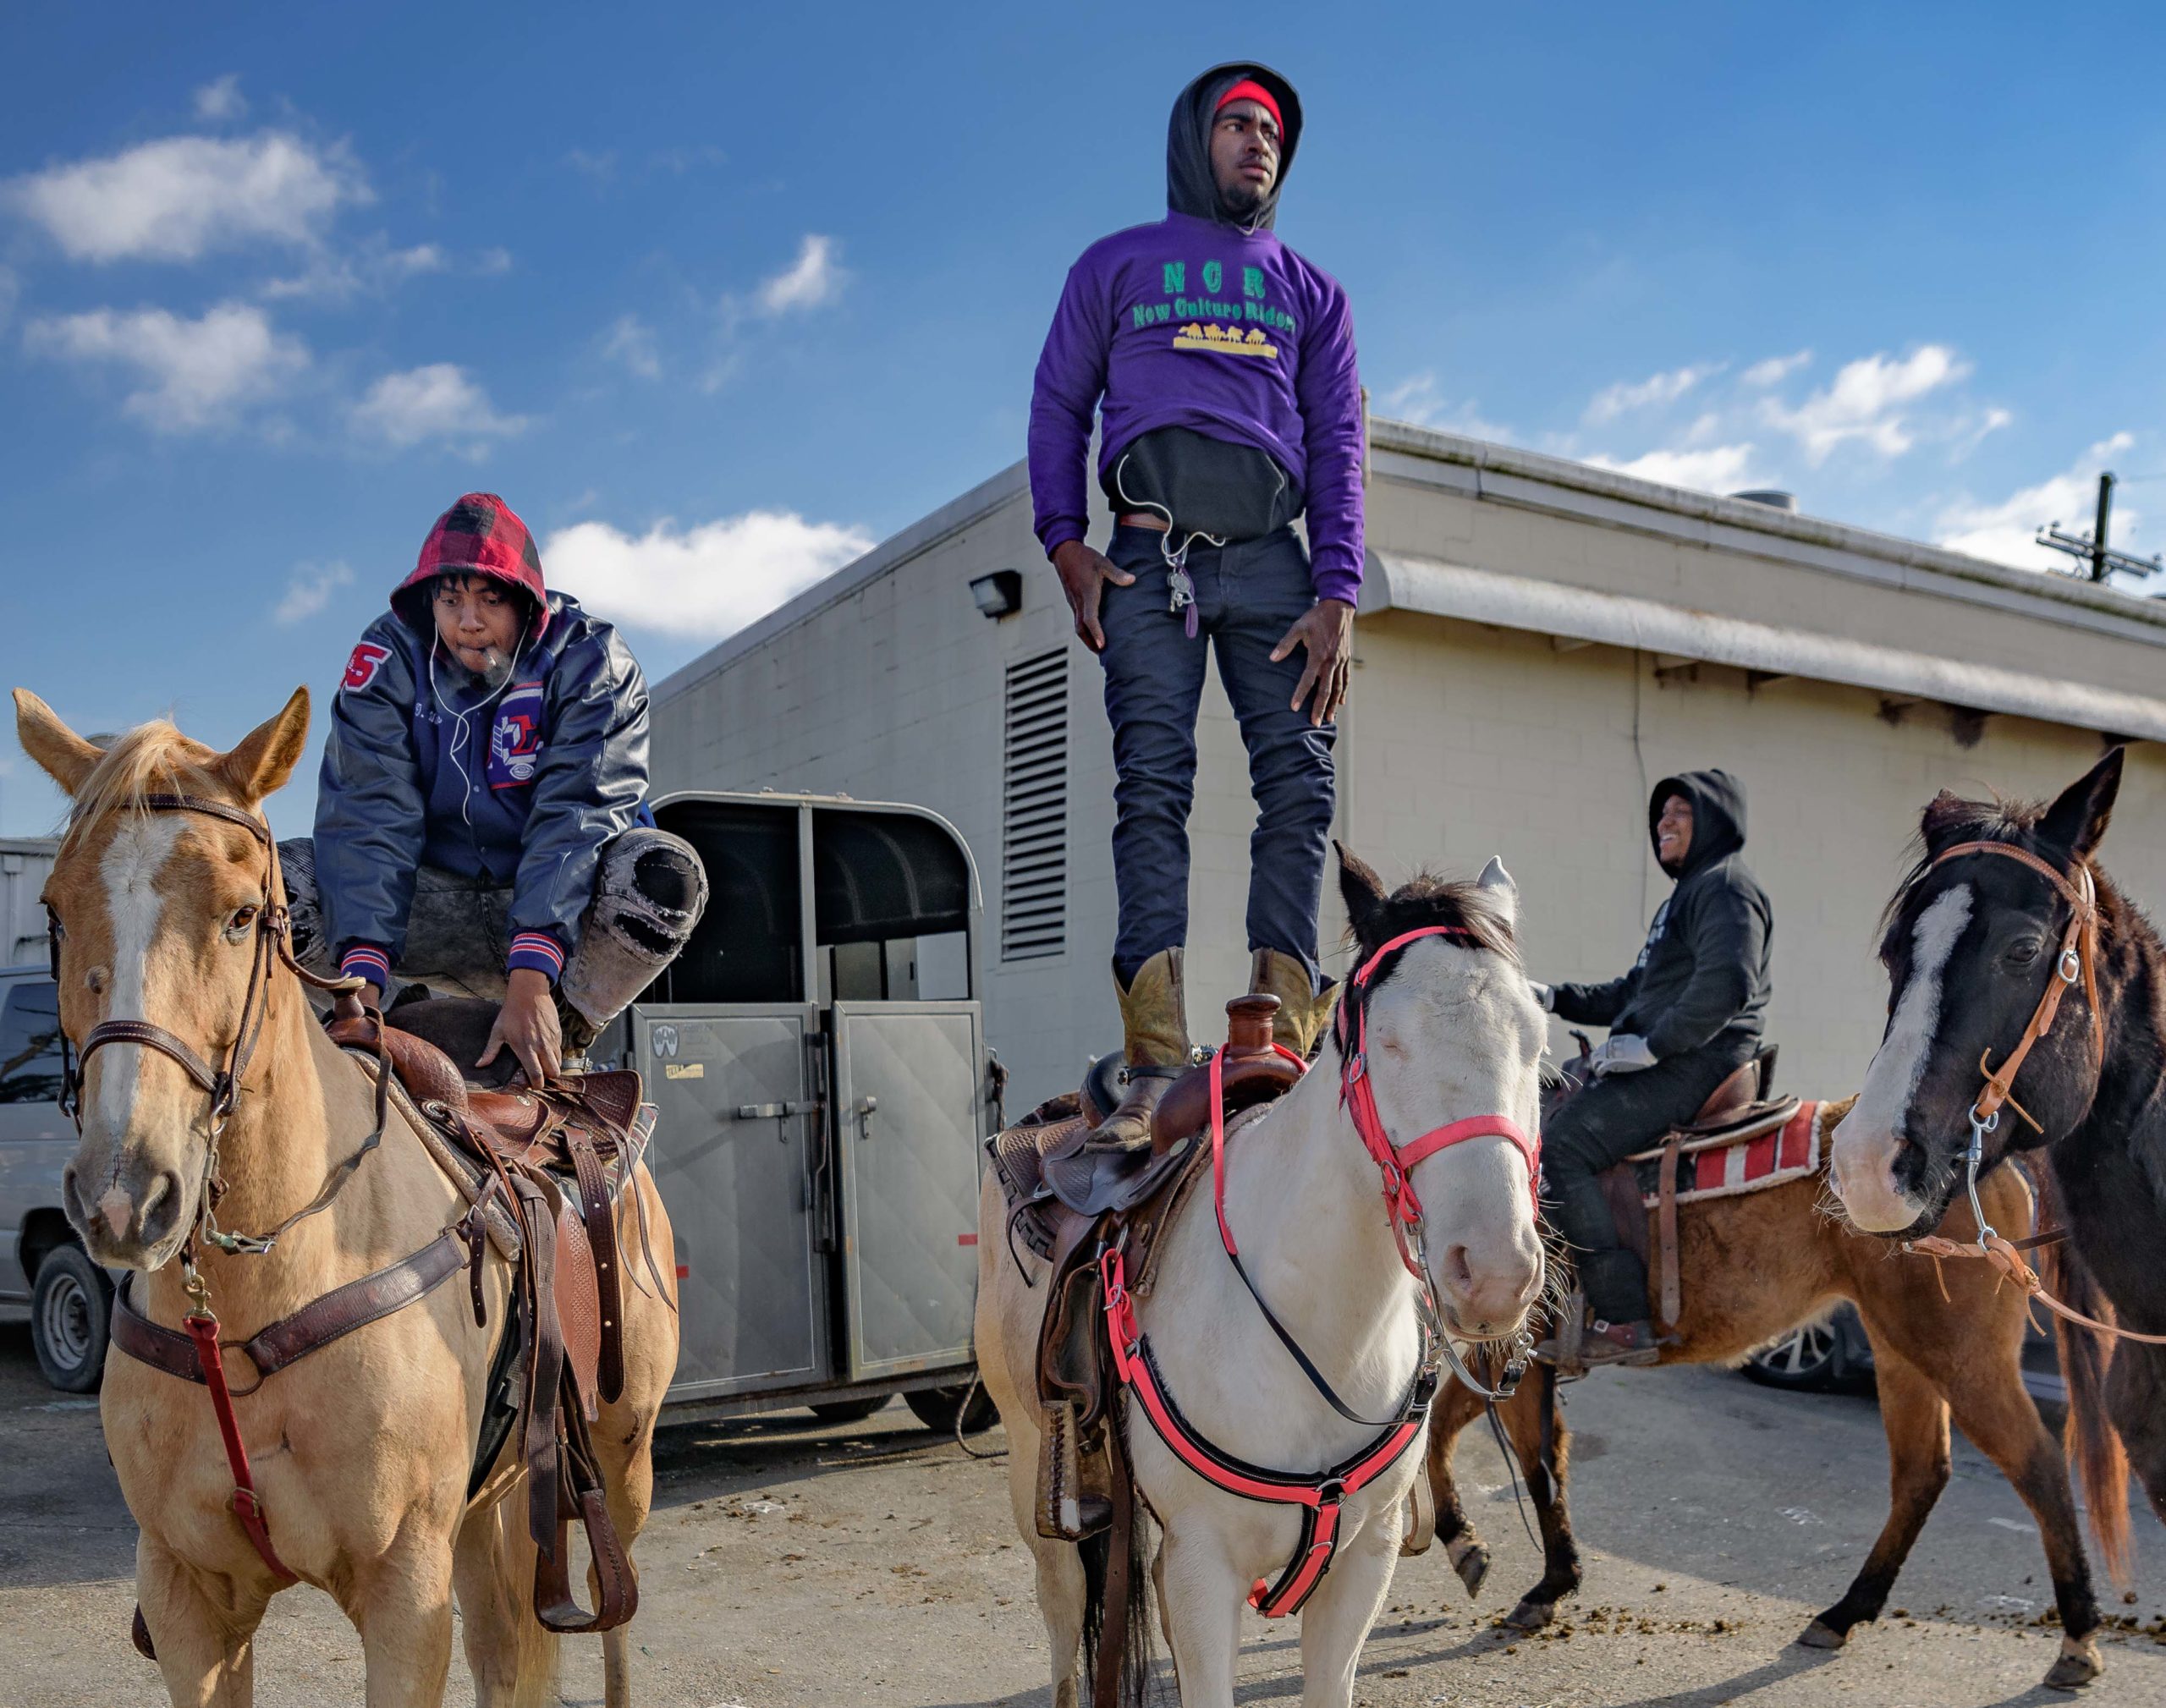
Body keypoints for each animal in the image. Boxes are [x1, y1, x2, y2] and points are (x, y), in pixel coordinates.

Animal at [15, 686, 678, 1708]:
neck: (253, 1299)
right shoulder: (185, 1595)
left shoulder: (404, 1595)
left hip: (620, 1467)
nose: (126, 1193)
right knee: (506, 1652)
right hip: (491, 1514)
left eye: (243, 914)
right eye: (53, 909)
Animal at [976, 848, 1548, 1708]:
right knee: (1065, 1627)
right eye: (1385, 1041)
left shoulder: (1363, 1563)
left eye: (1537, 1041)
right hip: (1034, 1480)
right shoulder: (1201, 1567)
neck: (1310, 1331)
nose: (1495, 1272)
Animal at [1423, 1099, 2117, 1691]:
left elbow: (1535, 1466)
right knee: (1922, 1473)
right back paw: (1845, 1613)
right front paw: (1466, 1545)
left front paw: (1546, 1584)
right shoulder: (1499, 1356)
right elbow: (1448, 1434)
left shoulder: (1516, 1353)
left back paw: (2078, 1639)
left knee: (2038, 1466)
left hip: (1959, 1356)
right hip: (1901, 1350)